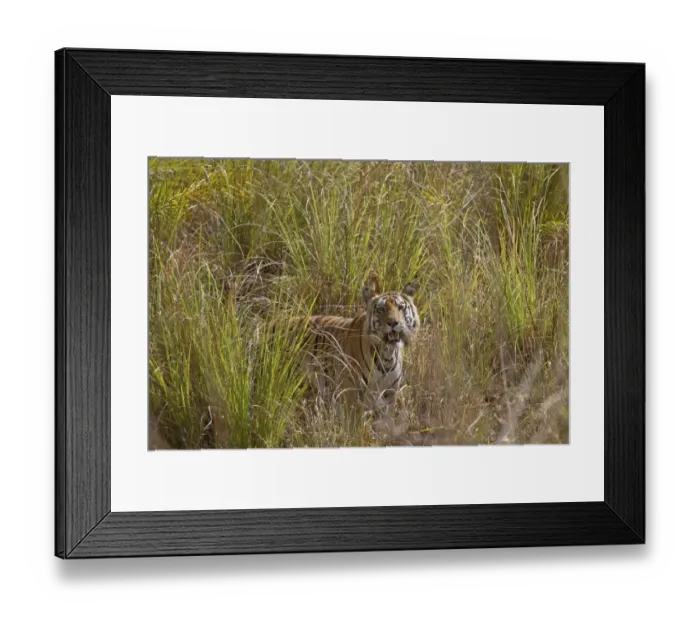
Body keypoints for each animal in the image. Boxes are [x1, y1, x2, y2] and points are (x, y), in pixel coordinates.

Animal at [297, 270, 420, 410]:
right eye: (381, 309)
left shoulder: (389, 397)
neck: (387, 355)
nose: (393, 323)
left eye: (400, 307)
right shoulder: (350, 395)